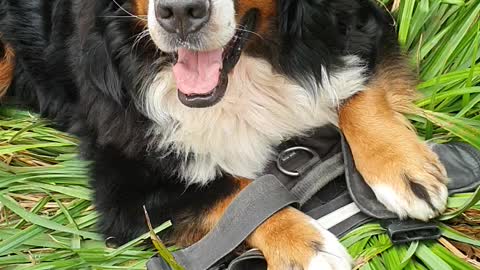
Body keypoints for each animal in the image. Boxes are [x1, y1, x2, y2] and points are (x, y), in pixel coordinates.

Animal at [0, 1, 450, 268]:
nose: (181, 11)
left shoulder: (356, 25)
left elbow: (357, 87)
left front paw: (402, 169)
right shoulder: (126, 185)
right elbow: (231, 194)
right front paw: (306, 246)